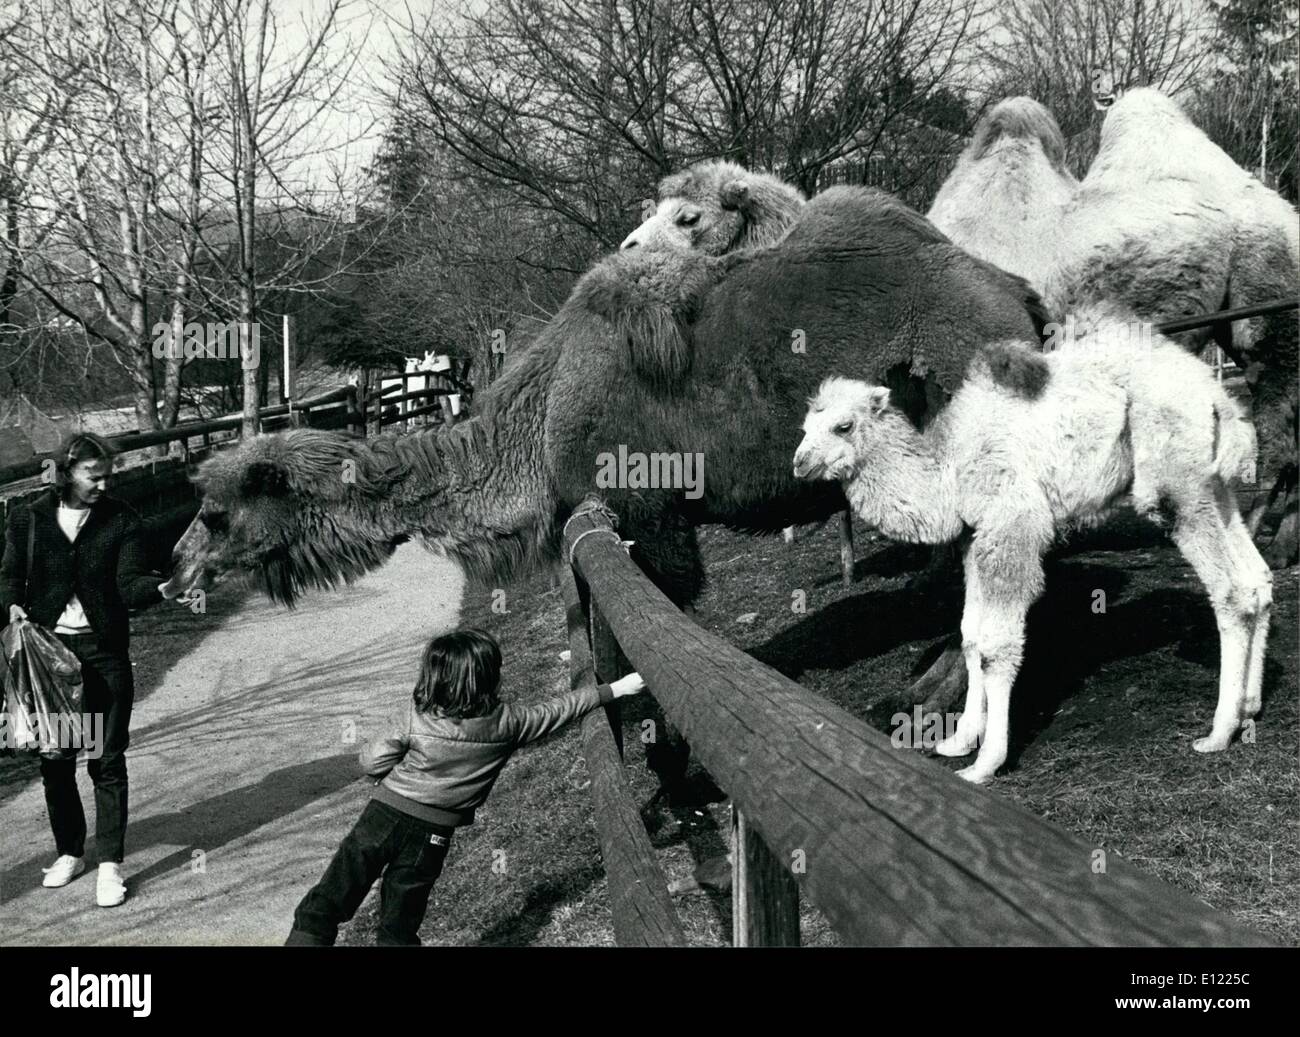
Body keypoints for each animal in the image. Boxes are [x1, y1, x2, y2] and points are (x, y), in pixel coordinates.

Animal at [793, 332, 1272, 783]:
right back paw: (1249, 707)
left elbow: (995, 647)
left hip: (1178, 484)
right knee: (1257, 579)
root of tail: (1216, 394)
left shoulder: (1012, 523)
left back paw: (1218, 732)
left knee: (1230, 589)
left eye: (843, 426)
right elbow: (970, 636)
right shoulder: (975, 538)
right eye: (804, 427)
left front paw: (985, 763)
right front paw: (959, 740)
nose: (800, 463)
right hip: (1215, 486)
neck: (947, 470)